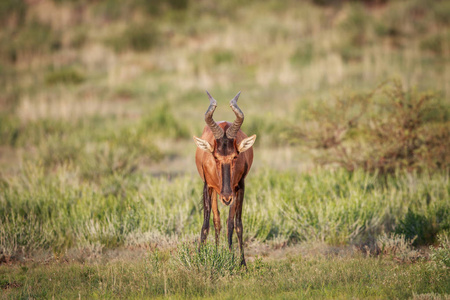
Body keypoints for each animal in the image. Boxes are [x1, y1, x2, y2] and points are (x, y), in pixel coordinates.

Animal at [192, 90, 256, 266]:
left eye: (235, 156)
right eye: (215, 156)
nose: (226, 198)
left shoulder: (240, 187)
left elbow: (237, 224)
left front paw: (242, 263)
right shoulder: (207, 186)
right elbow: (206, 224)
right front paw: (199, 258)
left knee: (229, 222)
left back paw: (229, 255)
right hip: (215, 192)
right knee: (217, 220)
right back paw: (215, 251)